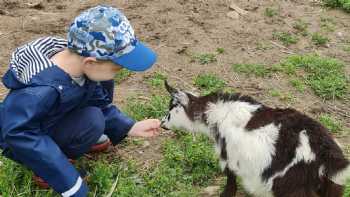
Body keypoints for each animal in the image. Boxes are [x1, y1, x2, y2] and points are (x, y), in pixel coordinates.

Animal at [161, 81, 350, 197]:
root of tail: (328, 154)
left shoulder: (229, 156)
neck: (219, 114)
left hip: (292, 184)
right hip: (331, 186)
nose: (162, 124)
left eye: (171, 108)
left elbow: (231, 182)